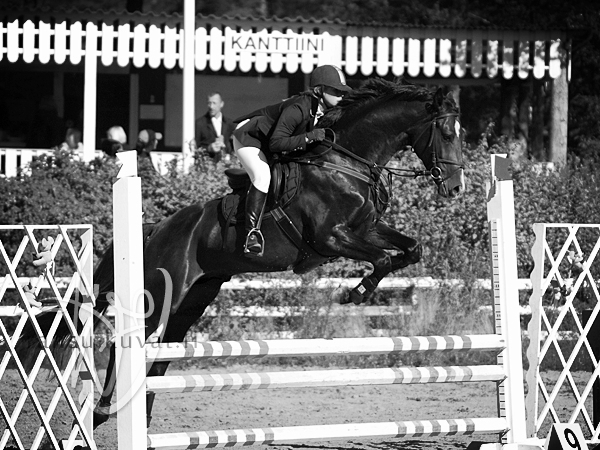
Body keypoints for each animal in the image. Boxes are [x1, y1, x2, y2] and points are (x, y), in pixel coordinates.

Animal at [15, 77, 465, 429]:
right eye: (447, 133)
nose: (456, 188)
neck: (346, 160)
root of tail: (156, 229)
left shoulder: (366, 228)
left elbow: (410, 250)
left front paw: (363, 288)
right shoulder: (331, 238)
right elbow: (384, 258)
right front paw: (354, 293)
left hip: (191, 302)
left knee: (161, 356)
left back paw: (141, 414)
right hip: (161, 294)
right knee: (123, 344)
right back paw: (104, 411)